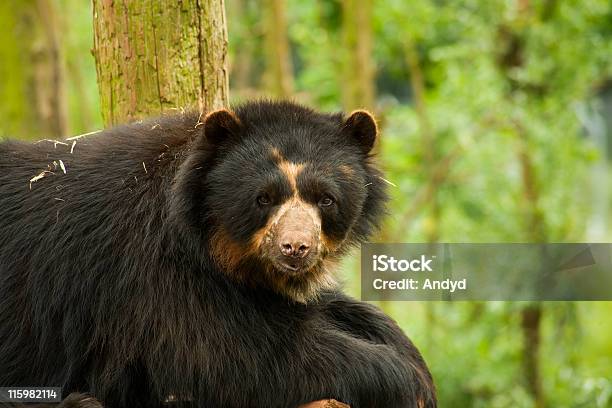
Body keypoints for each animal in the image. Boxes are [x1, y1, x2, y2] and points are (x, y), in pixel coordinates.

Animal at [0, 99, 436, 408]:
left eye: (325, 199)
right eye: (264, 198)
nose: (296, 248)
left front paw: (408, 354)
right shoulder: (154, 276)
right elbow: (241, 358)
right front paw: (409, 384)